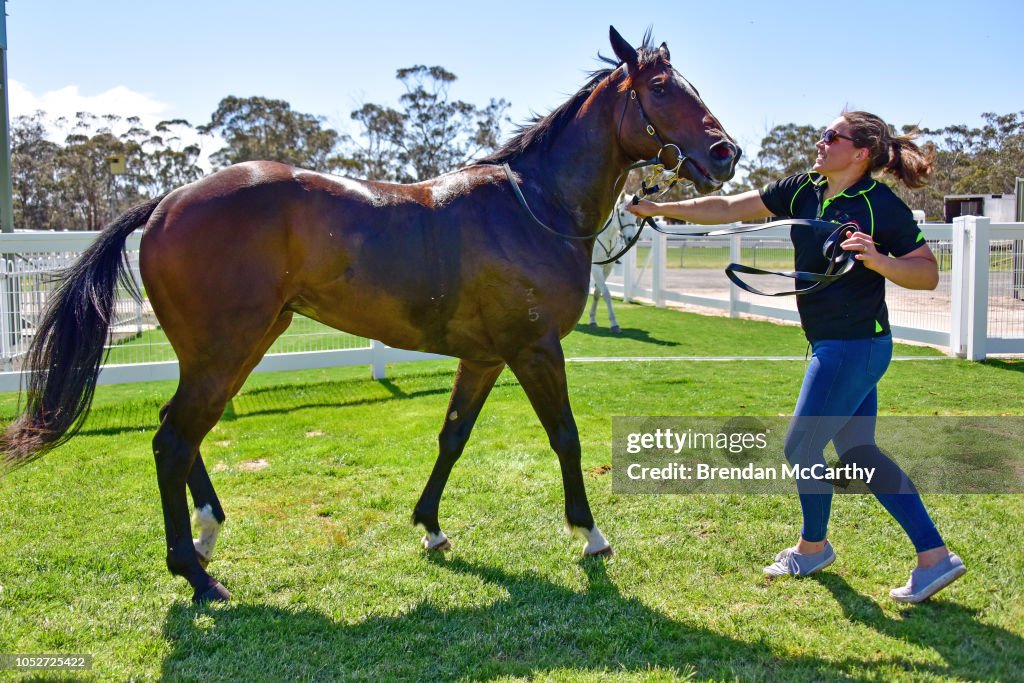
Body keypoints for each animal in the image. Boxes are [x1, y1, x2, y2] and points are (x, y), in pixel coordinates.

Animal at [589, 200, 634, 333]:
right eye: (622, 214)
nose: (630, 238)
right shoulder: (596, 267)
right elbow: (606, 293)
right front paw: (614, 323)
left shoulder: (607, 267)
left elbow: (598, 292)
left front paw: (592, 320)